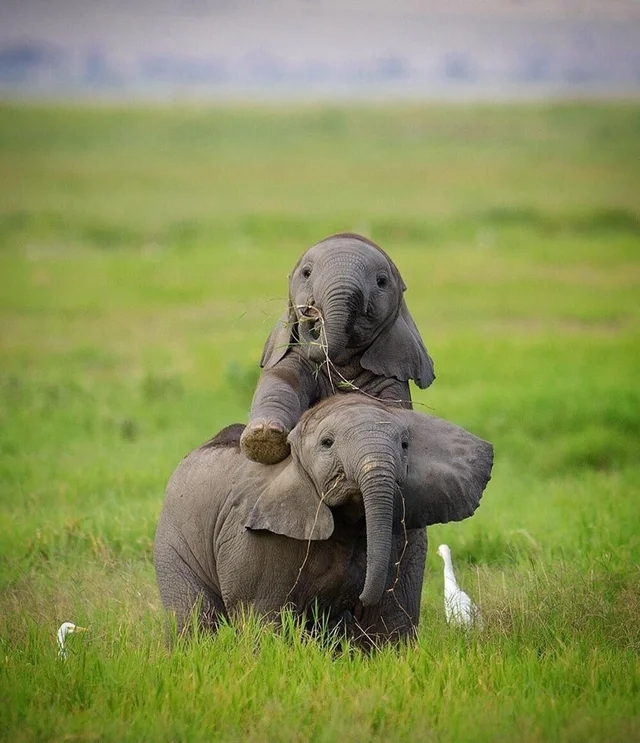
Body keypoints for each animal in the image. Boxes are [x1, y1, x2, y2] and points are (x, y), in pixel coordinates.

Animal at [155, 396, 496, 644]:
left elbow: (390, 619)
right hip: (173, 539)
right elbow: (263, 617)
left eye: (405, 445)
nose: (357, 599)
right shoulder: (255, 537)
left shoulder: (405, 534)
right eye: (327, 443)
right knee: (194, 618)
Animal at [240, 232, 436, 464]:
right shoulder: (293, 354)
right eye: (306, 273)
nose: (310, 310)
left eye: (381, 282)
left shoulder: (391, 372)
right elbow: (281, 382)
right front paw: (263, 438)